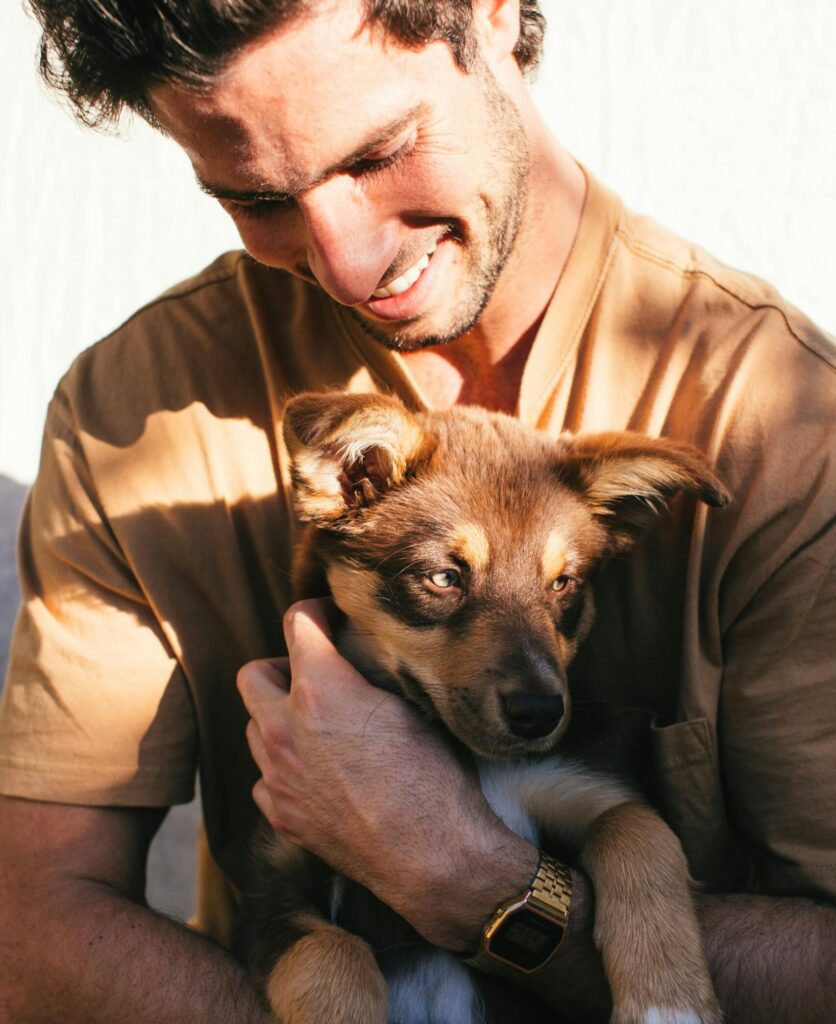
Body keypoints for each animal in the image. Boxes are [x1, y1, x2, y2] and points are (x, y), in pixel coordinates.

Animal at [233, 391, 725, 1024]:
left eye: (563, 584)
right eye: (444, 577)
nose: (541, 714)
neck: (474, 763)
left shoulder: (573, 784)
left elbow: (640, 828)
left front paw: (668, 1000)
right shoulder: (270, 887)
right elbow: (328, 953)